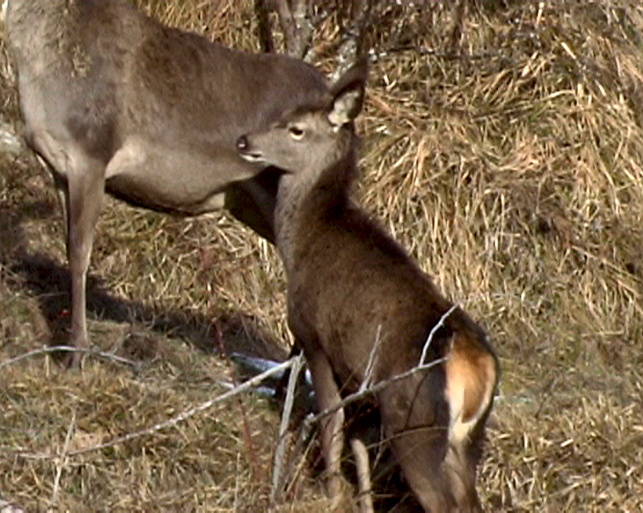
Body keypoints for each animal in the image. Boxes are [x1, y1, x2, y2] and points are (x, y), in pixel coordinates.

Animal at [239, 62, 500, 510]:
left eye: (295, 128)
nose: (245, 140)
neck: (305, 239)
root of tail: (475, 364)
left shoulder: (314, 337)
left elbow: (330, 424)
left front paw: (331, 494)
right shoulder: (359, 379)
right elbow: (358, 445)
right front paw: (359, 500)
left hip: (415, 420)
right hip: (468, 439)